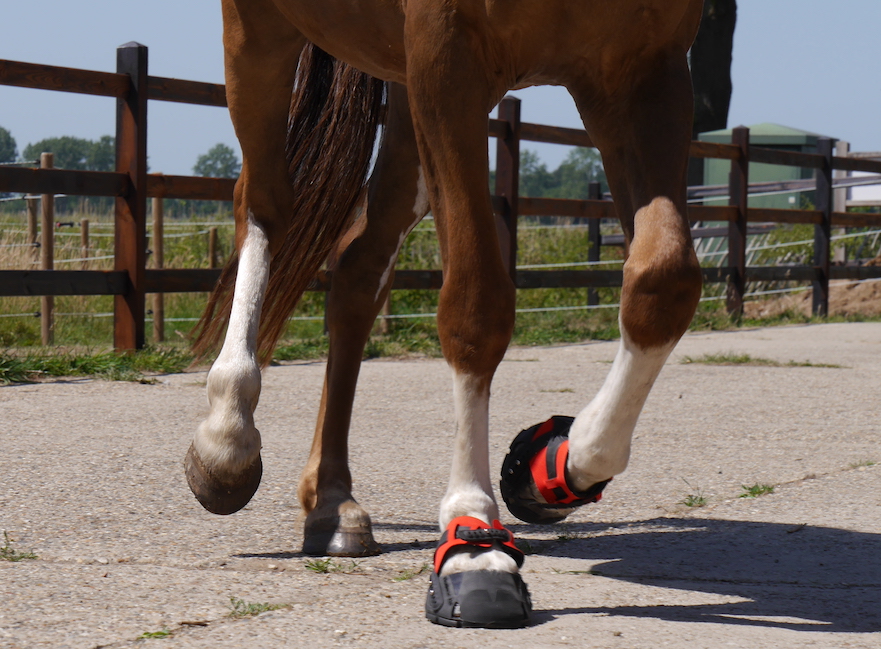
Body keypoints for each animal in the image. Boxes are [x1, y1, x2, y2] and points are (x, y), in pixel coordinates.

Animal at [184, 0, 700, 628]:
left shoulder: (645, 69)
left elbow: (663, 282)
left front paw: (551, 463)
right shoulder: (448, 57)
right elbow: (475, 305)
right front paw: (473, 539)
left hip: (406, 95)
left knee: (360, 265)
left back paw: (333, 504)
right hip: (265, 31)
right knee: (264, 204)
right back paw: (227, 439)